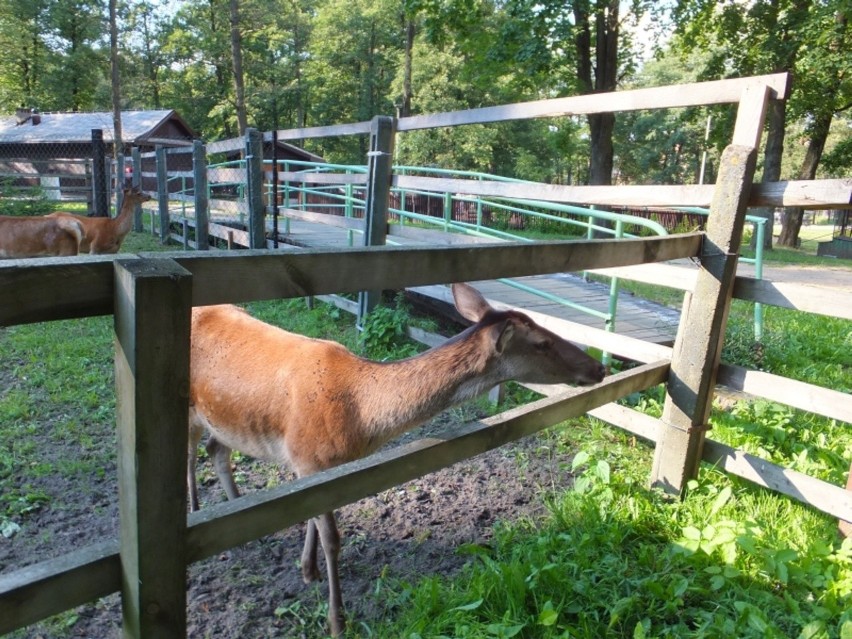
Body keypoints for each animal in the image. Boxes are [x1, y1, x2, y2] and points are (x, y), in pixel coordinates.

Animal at [188, 284, 604, 636]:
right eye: (542, 342)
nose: (599, 368)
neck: (361, 422)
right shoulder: (309, 459)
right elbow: (333, 538)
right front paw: (337, 621)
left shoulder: (314, 468)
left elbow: (309, 519)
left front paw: (307, 571)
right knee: (193, 453)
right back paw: (197, 512)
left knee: (216, 449)